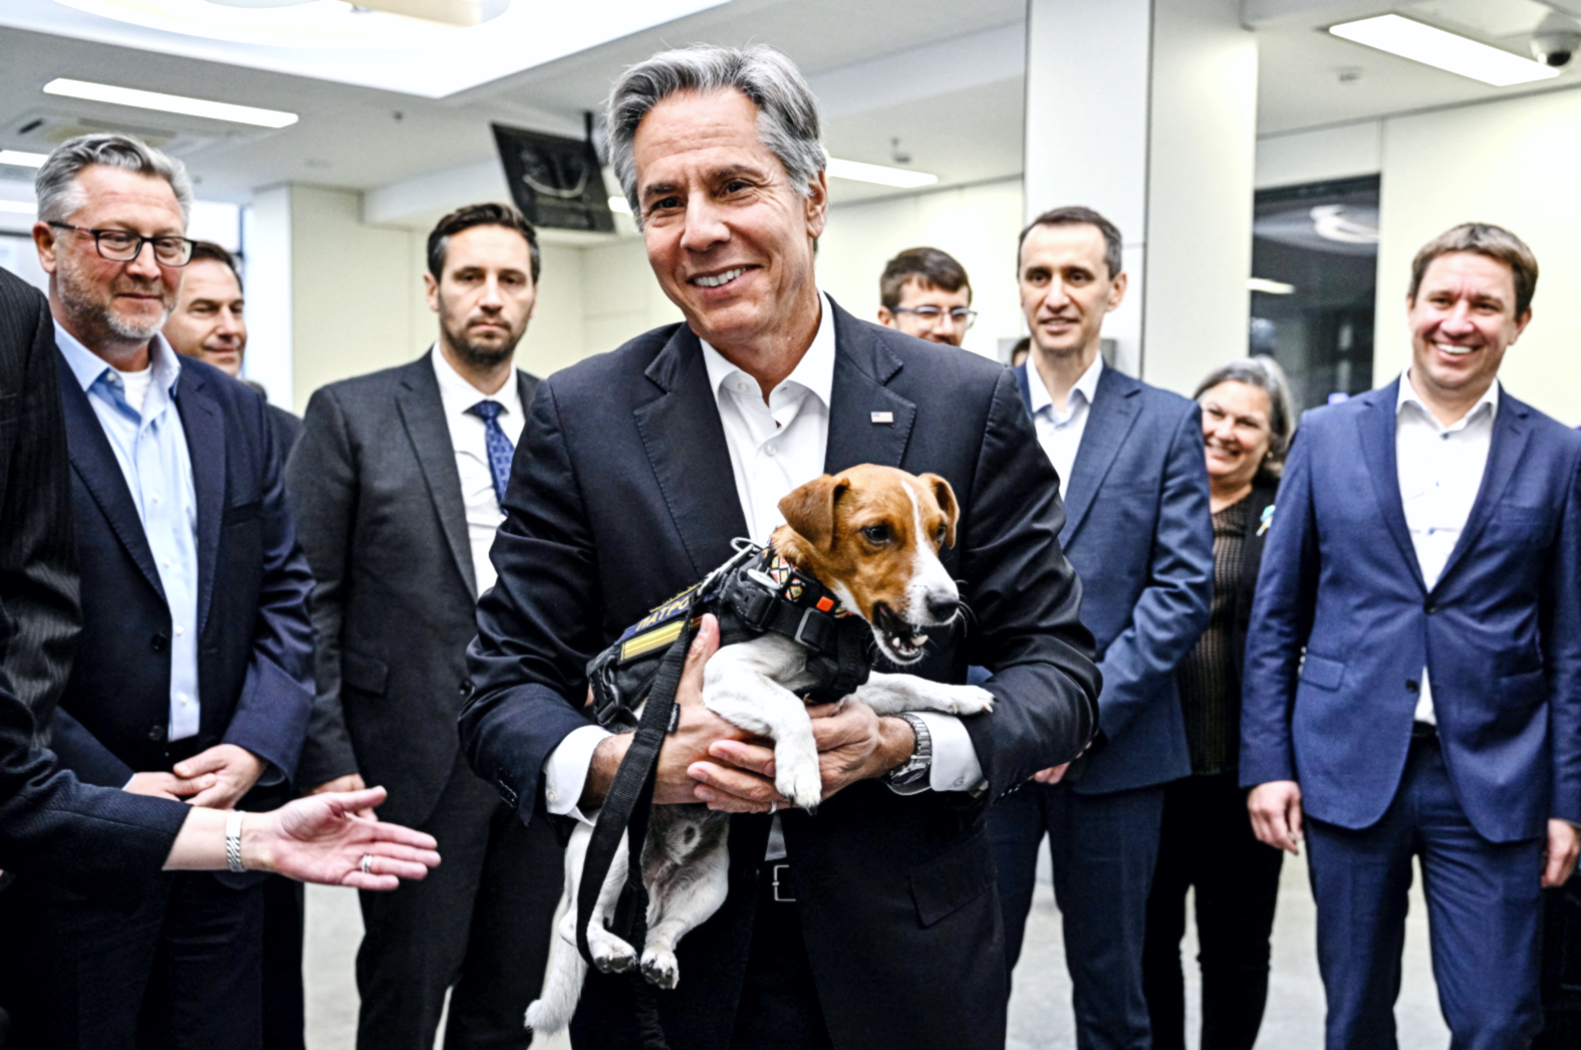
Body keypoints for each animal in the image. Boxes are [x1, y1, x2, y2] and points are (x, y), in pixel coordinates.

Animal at [527, 464, 996, 1034]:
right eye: (877, 532)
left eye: (938, 531)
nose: (947, 606)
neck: (807, 600)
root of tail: (653, 880)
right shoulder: (723, 676)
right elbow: (788, 705)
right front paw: (802, 771)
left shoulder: (850, 691)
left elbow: (909, 685)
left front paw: (960, 695)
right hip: (611, 849)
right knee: (578, 921)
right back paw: (608, 947)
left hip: (711, 887)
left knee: (664, 928)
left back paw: (658, 956)